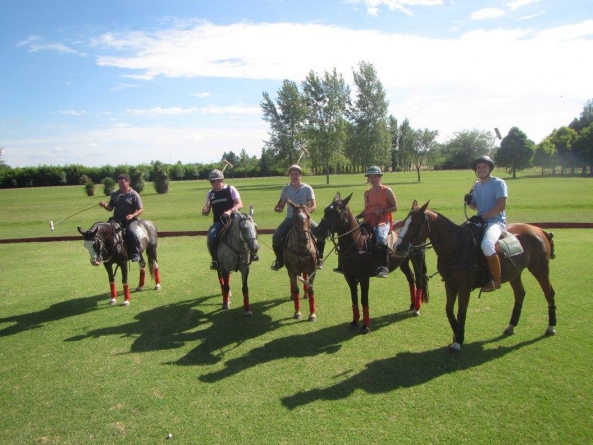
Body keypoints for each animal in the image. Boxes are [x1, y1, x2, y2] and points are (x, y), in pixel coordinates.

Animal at [314, 192, 426, 332]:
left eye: (338, 212)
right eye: (325, 210)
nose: (317, 232)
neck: (357, 245)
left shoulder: (364, 278)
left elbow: (364, 300)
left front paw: (365, 326)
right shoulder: (349, 278)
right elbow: (354, 300)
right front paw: (354, 322)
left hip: (417, 257)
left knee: (419, 280)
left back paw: (417, 309)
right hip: (403, 261)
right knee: (411, 278)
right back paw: (412, 305)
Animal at [394, 200, 556, 350]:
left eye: (414, 225)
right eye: (404, 222)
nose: (397, 247)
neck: (454, 248)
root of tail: (539, 230)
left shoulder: (464, 288)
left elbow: (461, 312)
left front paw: (458, 340)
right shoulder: (450, 285)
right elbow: (449, 310)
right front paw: (457, 334)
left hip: (540, 269)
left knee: (549, 292)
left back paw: (551, 327)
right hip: (515, 273)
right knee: (520, 294)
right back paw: (511, 326)